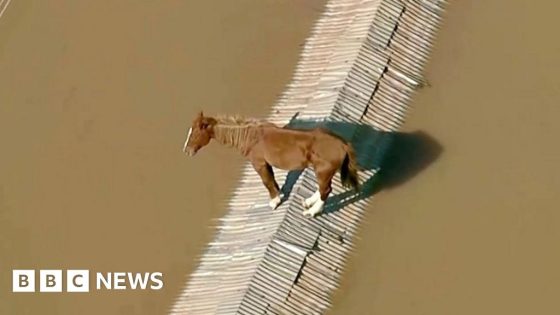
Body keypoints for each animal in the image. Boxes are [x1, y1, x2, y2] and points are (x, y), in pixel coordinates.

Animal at [184, 111, 358, 217]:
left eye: (195, 133)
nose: (186, 151)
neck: (250, 137)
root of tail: (343, 145)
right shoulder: (266, 164)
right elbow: (272, 179)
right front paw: (279, 195)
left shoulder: (259, 163)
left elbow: (266, 181)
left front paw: (274, 202)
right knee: (323, 189)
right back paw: (308, 202)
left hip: (323, 171)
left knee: (326, 190)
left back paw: (312, 212)